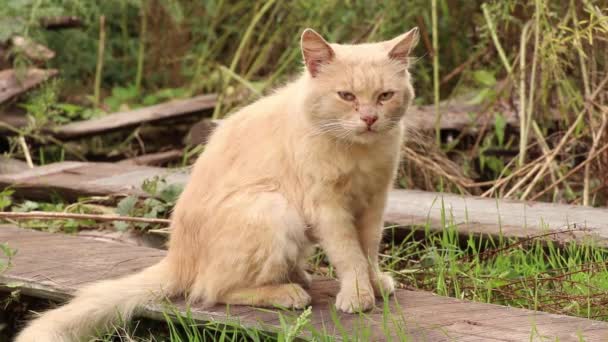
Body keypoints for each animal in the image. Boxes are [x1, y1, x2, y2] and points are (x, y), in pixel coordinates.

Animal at [17, 27, 418, 342]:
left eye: (384, 96)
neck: (359, 152)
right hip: (271, 206)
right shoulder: (328, 206)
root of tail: (177, 256)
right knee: (211, 290)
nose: (369, 119)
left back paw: (297, 276)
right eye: (346, 96)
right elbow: (349, 254)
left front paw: (375, 284)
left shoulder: (374, 201)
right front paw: (358, 295)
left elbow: (368, 249)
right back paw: (288, 292)